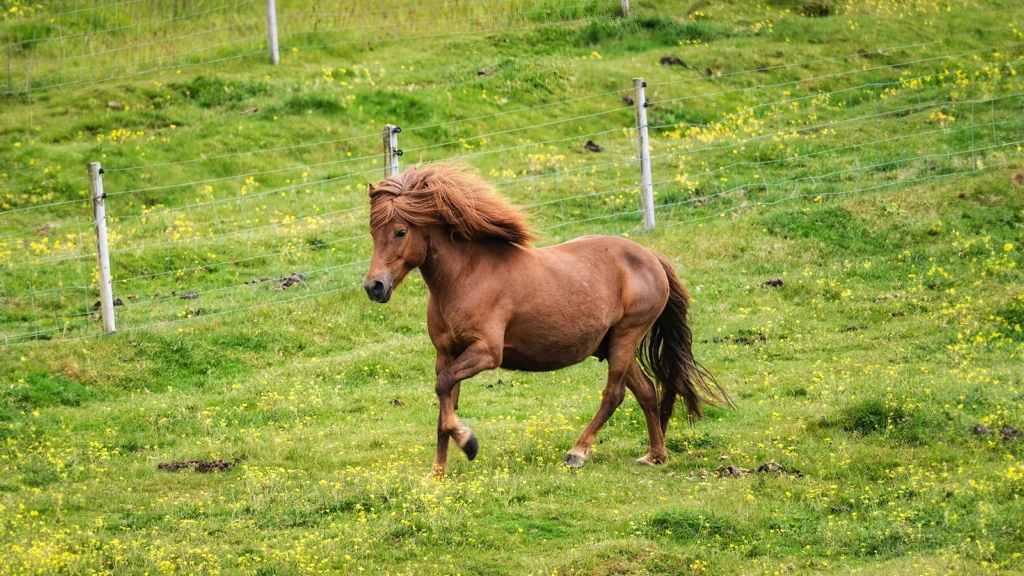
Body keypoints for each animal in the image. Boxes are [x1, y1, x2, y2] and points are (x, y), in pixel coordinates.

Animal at [363, 163, 728, 476]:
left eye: (400, 232)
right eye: (372, 233)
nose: (374, 287)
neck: (466, 277)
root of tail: (651, 257)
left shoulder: (486, 353)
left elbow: (443, 391)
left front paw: (469, 442)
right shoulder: (446, 355)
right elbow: (444, 403)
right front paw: (437, 474)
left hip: (627, 336)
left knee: (614, 394)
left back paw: (578, 452)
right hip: (613, 344)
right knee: (647, 393)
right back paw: (654, 455)